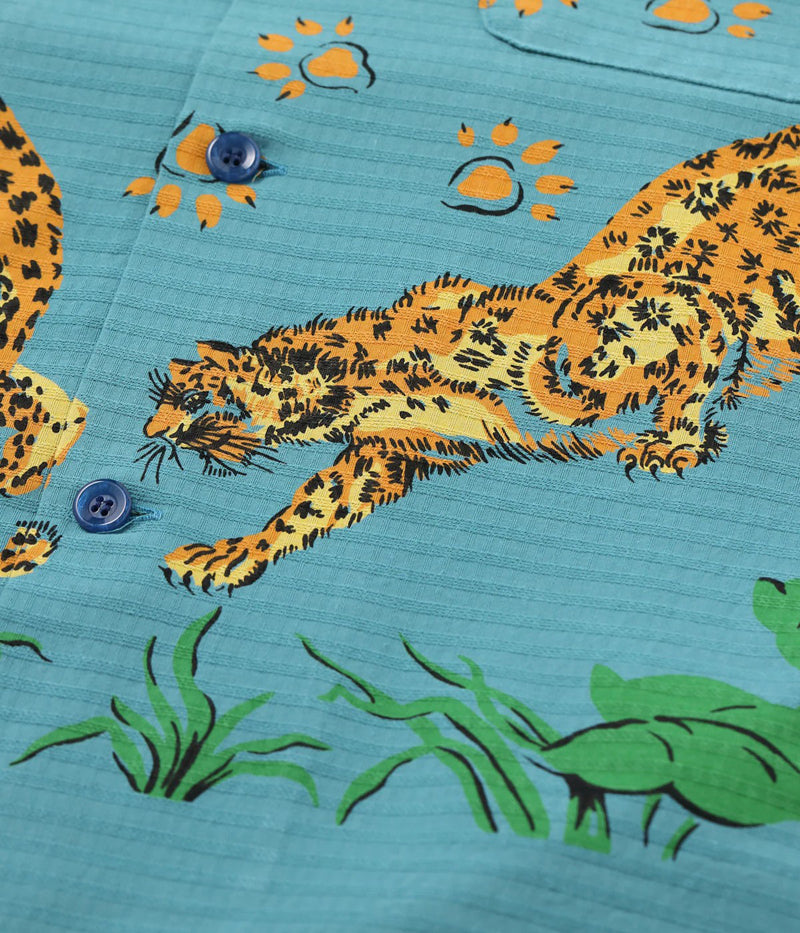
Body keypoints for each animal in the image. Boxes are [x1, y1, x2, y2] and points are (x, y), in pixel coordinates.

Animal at [140, 122, 800, 594]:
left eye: (198, 399)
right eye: (167, 392)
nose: (150, 433)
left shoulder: (684, 305)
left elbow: (696, 370)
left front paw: (674, 441)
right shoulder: (388, 448)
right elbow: (309, 507)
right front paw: (228, 556)